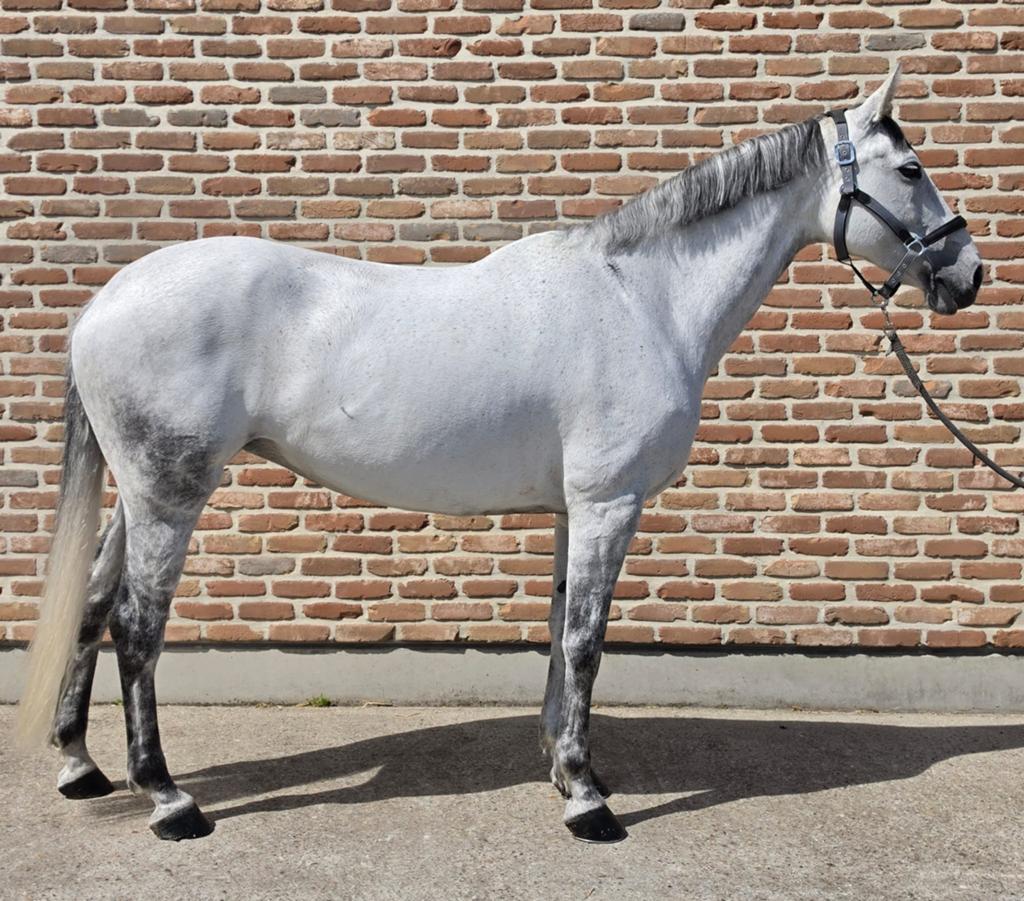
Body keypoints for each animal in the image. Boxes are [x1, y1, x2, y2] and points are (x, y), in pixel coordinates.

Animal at [17, 67, 982, 843]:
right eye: (910, 169)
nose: (969, 275)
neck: (643, 298)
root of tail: (103, 303)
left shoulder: (573, 510)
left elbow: (559, 634)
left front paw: (563, 765)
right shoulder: (609, 503)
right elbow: (587, 641)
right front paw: (589, 802)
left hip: (141, 494)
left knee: (95, 607)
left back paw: (80, 767)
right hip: (172, 494)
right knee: (137, 628)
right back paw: (169, 799)